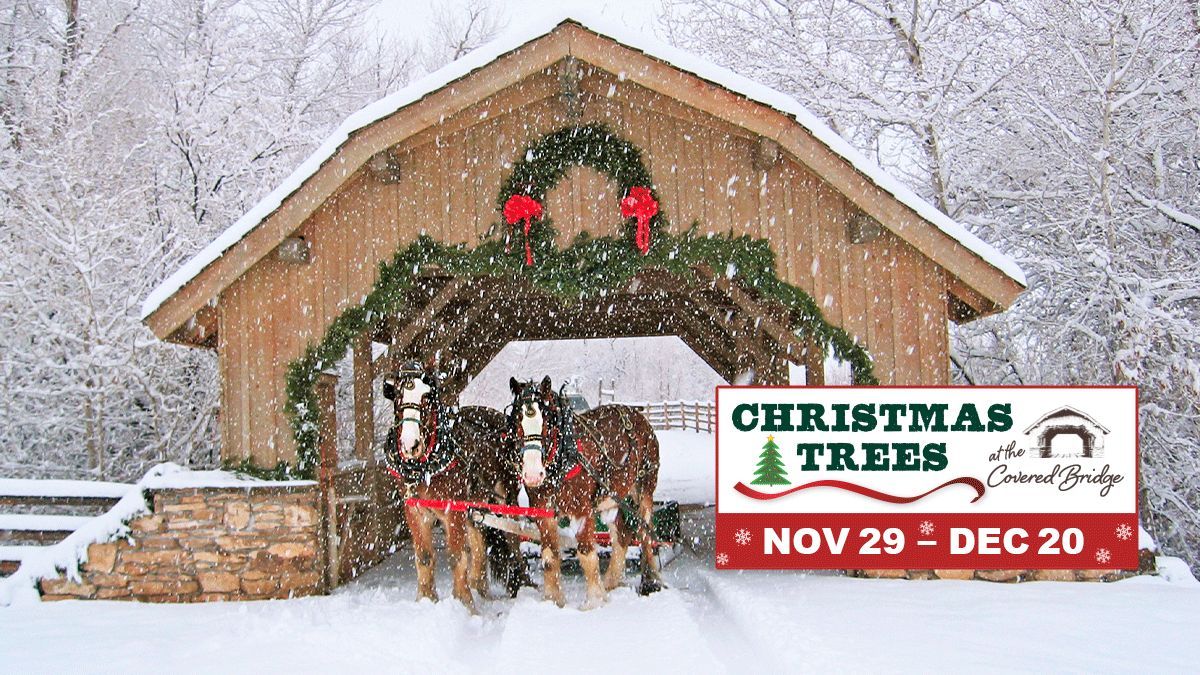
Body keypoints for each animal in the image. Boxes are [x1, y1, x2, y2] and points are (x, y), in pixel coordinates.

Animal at [384, 362, 530, 610]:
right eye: (398, 396)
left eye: (427, 397)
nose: (410, 444)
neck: (426, 465)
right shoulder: (415, 509)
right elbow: (424, 556)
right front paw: (426, 599)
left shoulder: (453, 509)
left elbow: (456, 555)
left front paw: (463, 602)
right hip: (475, 504)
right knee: (479, 539)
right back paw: (480, 588)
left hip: (505, 497)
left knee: (511, 537)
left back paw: (517, 584)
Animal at [501, 374, 662, 607]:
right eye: (516, 421)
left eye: (547, 422)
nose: (532, 474)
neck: (563, 456)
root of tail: (639, 417)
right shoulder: (543, 510)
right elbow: (549, 556)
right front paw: (553, 599)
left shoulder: (581, 510)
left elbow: (587, 554)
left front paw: (594, 601)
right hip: (613, 496)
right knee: (622, 533)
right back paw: (611, 582)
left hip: (644, 489)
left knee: (645, 532)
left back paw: (651, 582)